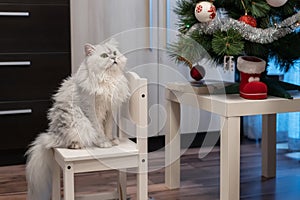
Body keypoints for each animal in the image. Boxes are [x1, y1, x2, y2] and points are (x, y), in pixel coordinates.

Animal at [25, 39, 129, 200]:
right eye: (104, 56)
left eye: (114, 53)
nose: (113, 58)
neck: (106, 80)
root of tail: (51, 135)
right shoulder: (91, 110)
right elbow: (99, 130)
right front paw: (104, 143)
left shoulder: (110, 110)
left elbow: (108, 128)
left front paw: (112, 140)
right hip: (77, 121)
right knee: (69, 140)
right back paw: (76, 145)